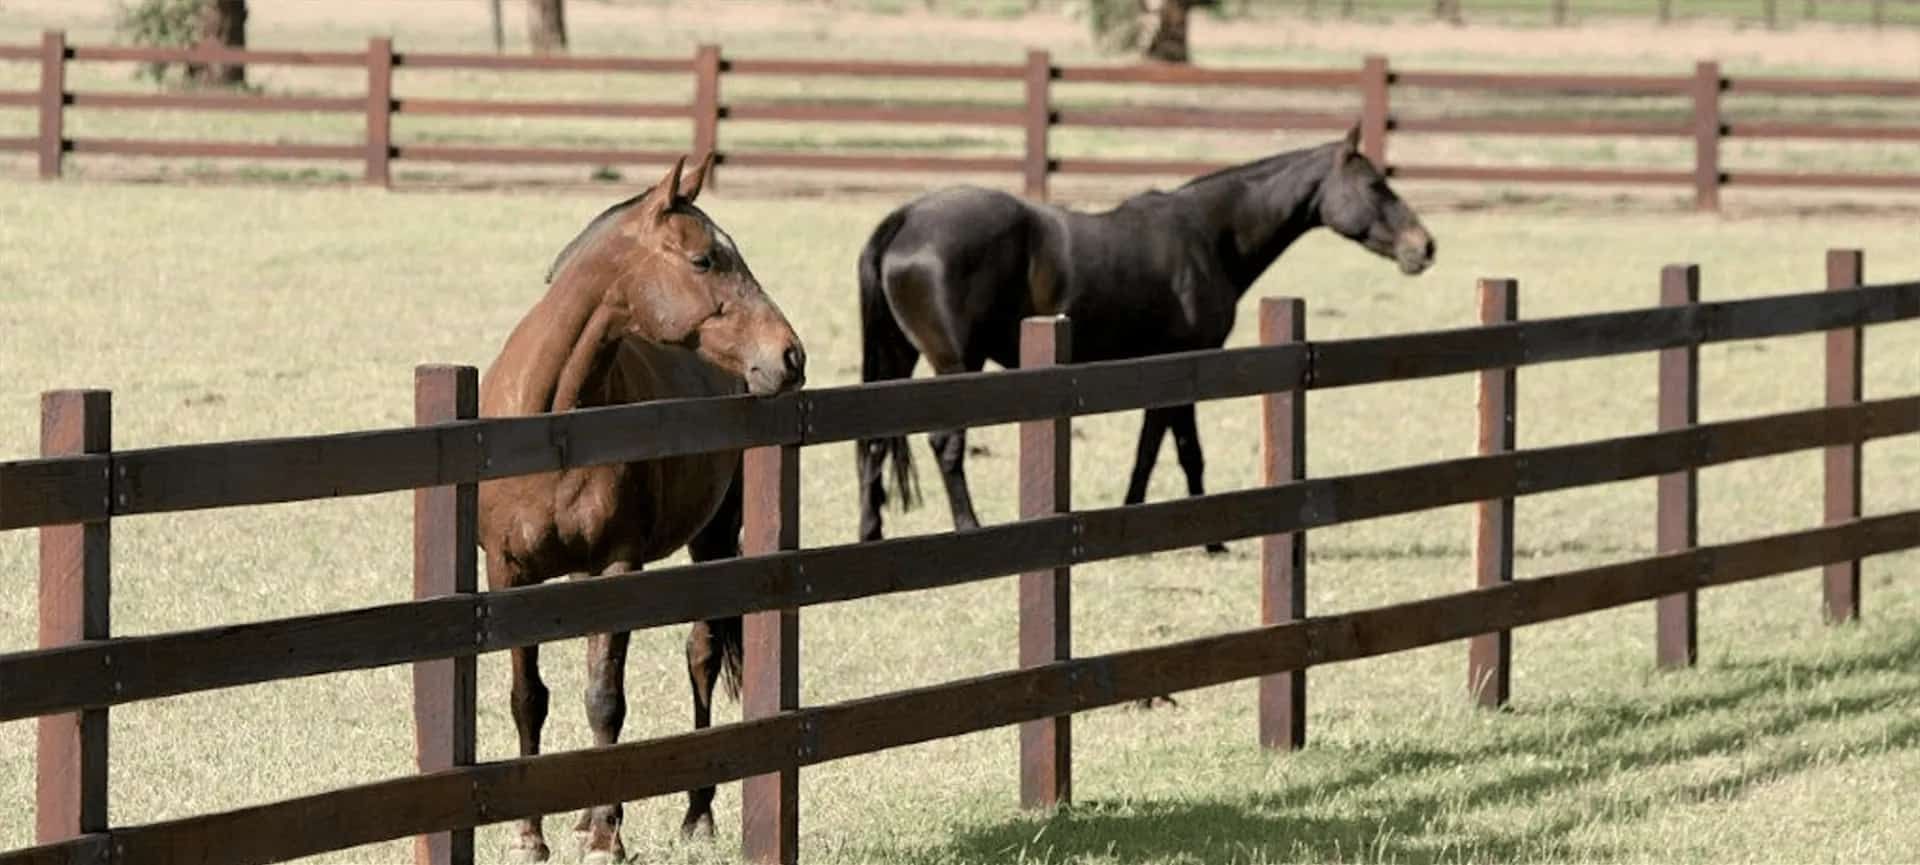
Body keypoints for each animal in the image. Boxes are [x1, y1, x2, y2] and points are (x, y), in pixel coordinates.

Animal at [477, 154, 807, 864]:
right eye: (705, 259)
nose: (790, 355)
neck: (551, 420)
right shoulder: (508, 574)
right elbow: (528, 697)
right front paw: (531, 834)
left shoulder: (619, 568)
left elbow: (606, 699)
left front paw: (608, 834)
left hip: (714, 539)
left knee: (701, 655)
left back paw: (697, 814)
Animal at [855, 126, 1435, 554]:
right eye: (1376, 186)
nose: (1424, 246)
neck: (1209, 236)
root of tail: (906, 219)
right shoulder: (1186, 364)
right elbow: (1186, 450)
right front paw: (1212, 541)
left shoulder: (1159, 372)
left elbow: (1149, 449)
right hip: (957, 365)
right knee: (946, 446)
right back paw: (969, 527)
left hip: (898, 358)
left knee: (876, 442)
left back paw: (871, 532)